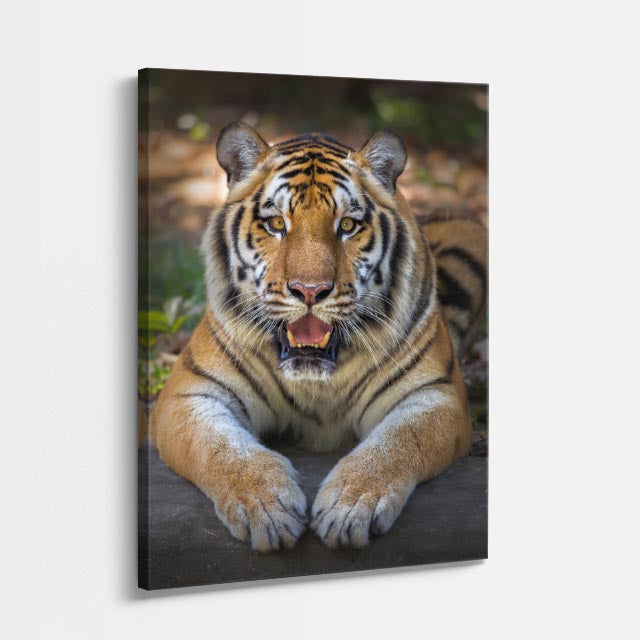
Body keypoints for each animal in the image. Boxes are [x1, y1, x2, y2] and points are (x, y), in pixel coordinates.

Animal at [150, 123, 487, 552]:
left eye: (347, 226)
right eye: (277, 224)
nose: (310, 291)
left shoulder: (435, 394)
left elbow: (398, 443)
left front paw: (350, 507)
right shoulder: (189, 394)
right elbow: (221, 448)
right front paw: (266, 507)